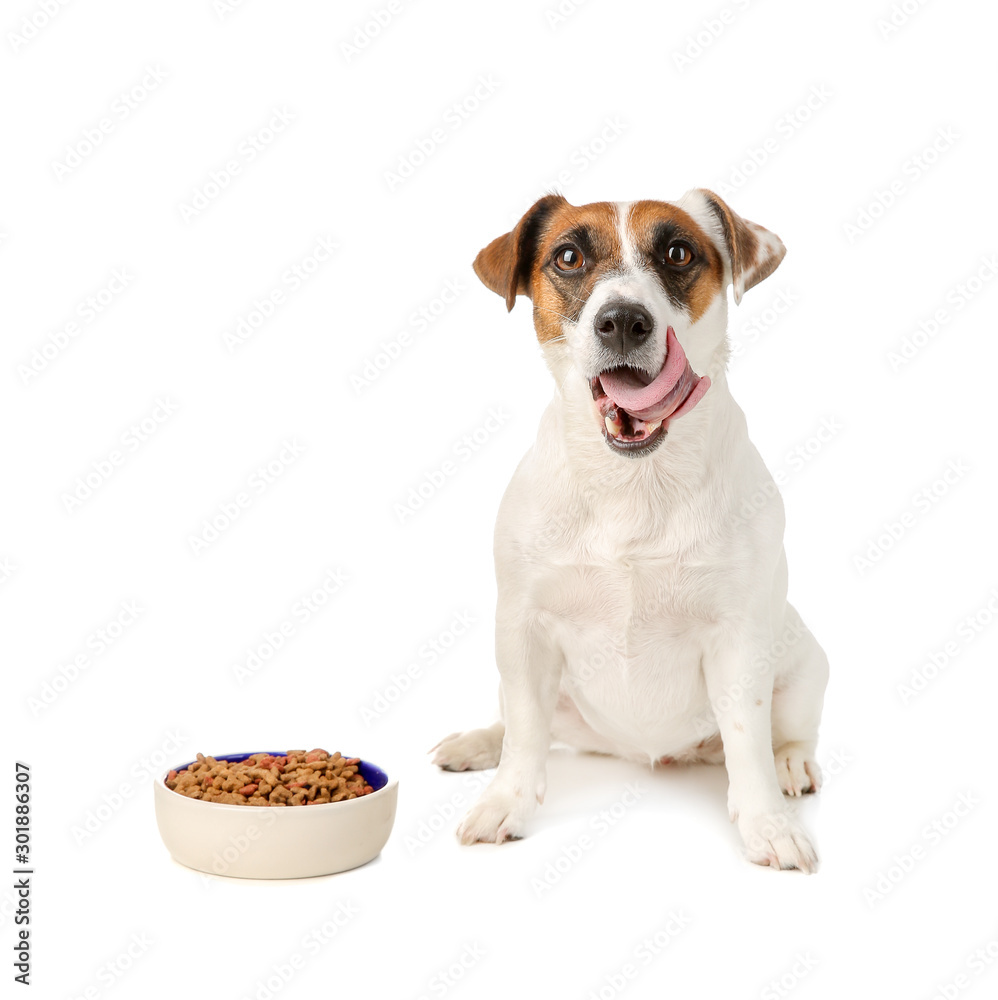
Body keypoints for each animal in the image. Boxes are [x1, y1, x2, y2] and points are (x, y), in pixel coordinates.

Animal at [434, 191, 832, 872]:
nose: (622, 320)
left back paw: (791, 764)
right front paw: (505, 800)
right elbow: (525, 735)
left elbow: (748, 738)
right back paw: (476, 743)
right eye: (568, 256)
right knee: (521, 722)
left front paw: (768, 823)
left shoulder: (739, 639)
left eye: (678, 252)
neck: (634, 482)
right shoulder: (523, 629)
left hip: (805, 659)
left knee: (788, 731)